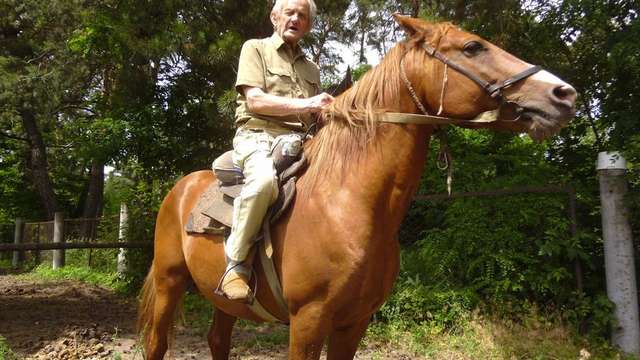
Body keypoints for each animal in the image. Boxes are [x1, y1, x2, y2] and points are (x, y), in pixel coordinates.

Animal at [135, 14, 576, 360]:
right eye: (472, 47)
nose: (564, 94)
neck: (349, 205)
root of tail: (180, 189)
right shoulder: (308, 320)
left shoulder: (355, 322)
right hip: (170, 282)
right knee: (157, 344)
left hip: (223, 301)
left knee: (217, 341)